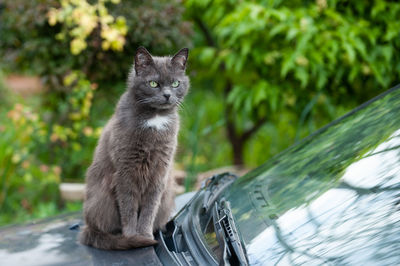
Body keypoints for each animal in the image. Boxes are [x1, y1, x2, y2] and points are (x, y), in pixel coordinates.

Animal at [79, 47, 189, 249]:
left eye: (175, 83)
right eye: (153, 83)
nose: (167, 95)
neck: (155, 118)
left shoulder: (160, 171)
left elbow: (149, 207)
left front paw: (144, 234)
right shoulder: (125, 170)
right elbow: (128, 205)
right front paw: (133, 237)